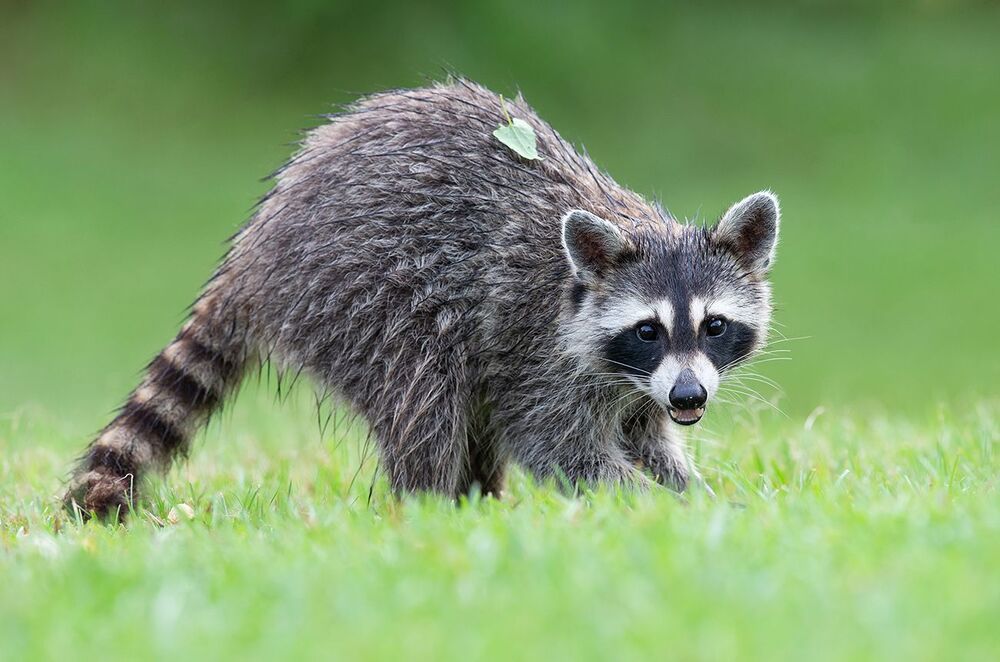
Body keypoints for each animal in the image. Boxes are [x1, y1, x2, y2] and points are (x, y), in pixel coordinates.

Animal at [63, 79, 780, 519]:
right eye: (648, 330)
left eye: (715, 326)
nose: (691, 395)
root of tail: (255, 251)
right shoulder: (536, 346)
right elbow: (555, 444)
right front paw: (653, 504)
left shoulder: (634, 387)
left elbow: (648, 437)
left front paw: (689, 488)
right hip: (364, 294)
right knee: (427, 396)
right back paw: (431, 509)